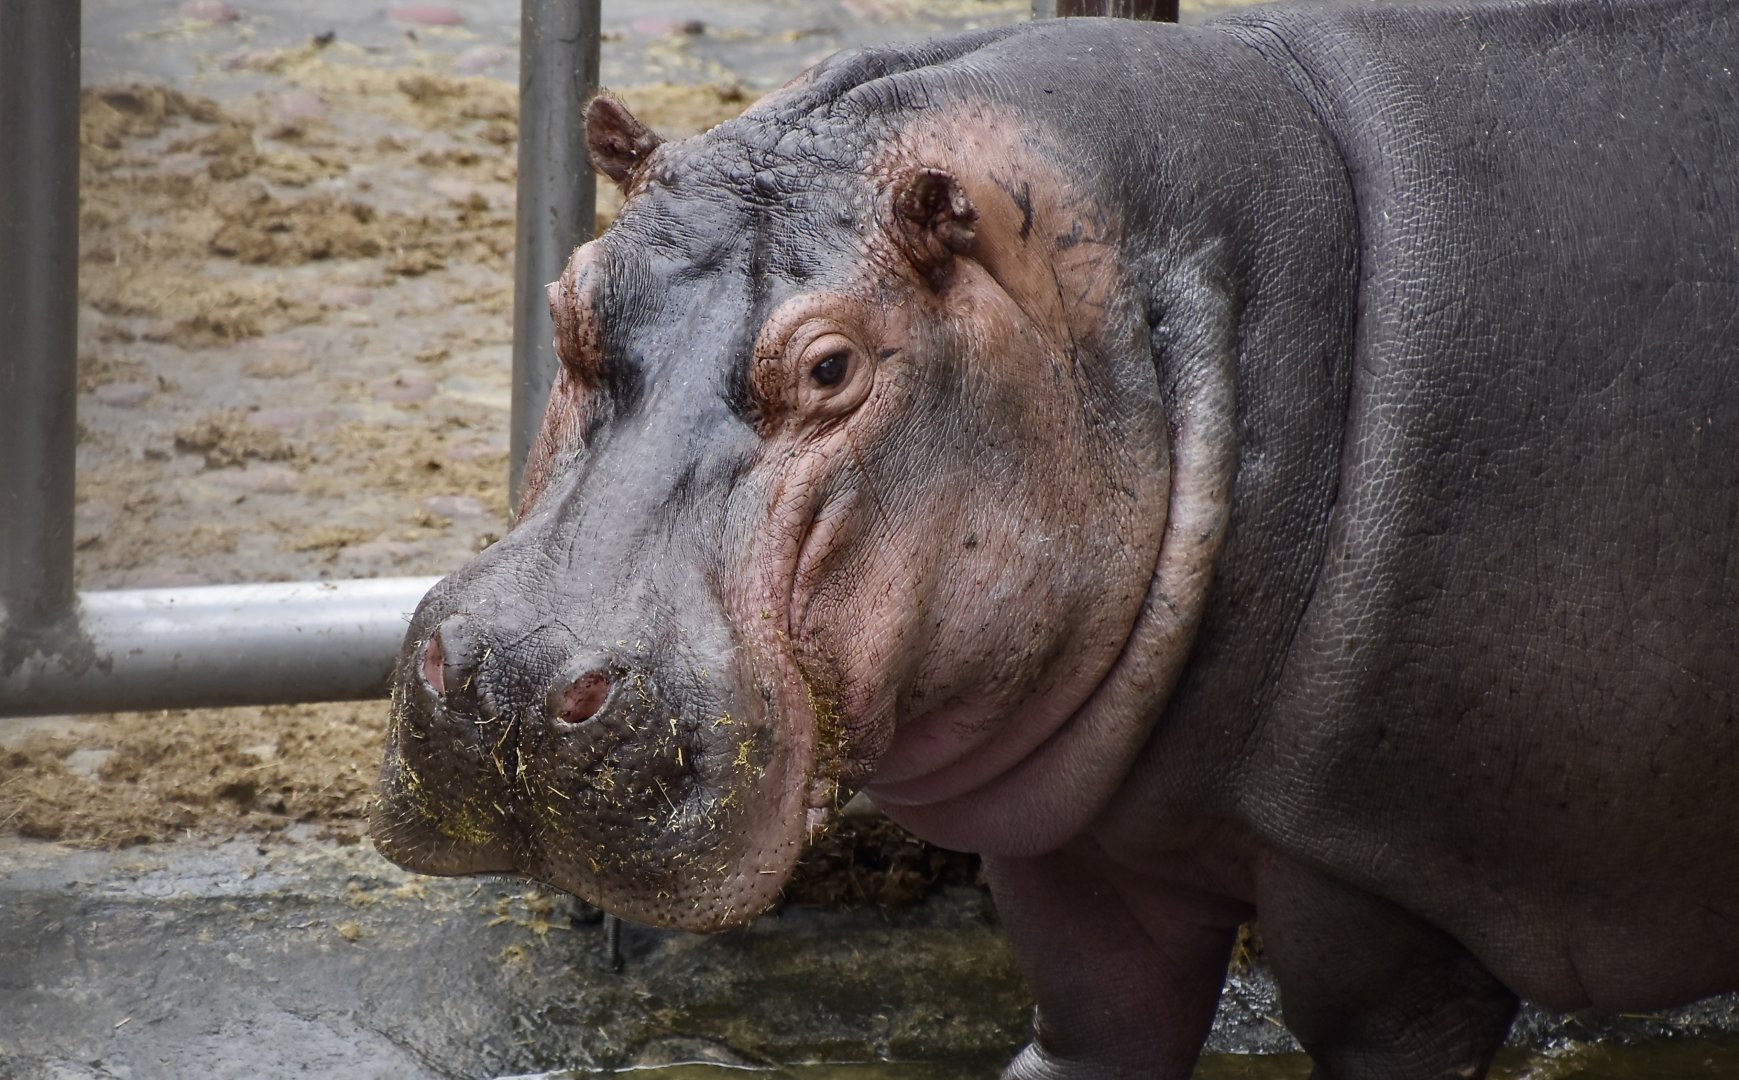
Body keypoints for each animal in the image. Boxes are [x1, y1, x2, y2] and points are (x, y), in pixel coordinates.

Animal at [372, 0, 1739, 1075]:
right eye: (567, 297)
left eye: (832, 366)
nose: (509, 680)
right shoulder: (1084, 862)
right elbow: (1096, 1024)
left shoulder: (1384, 903)